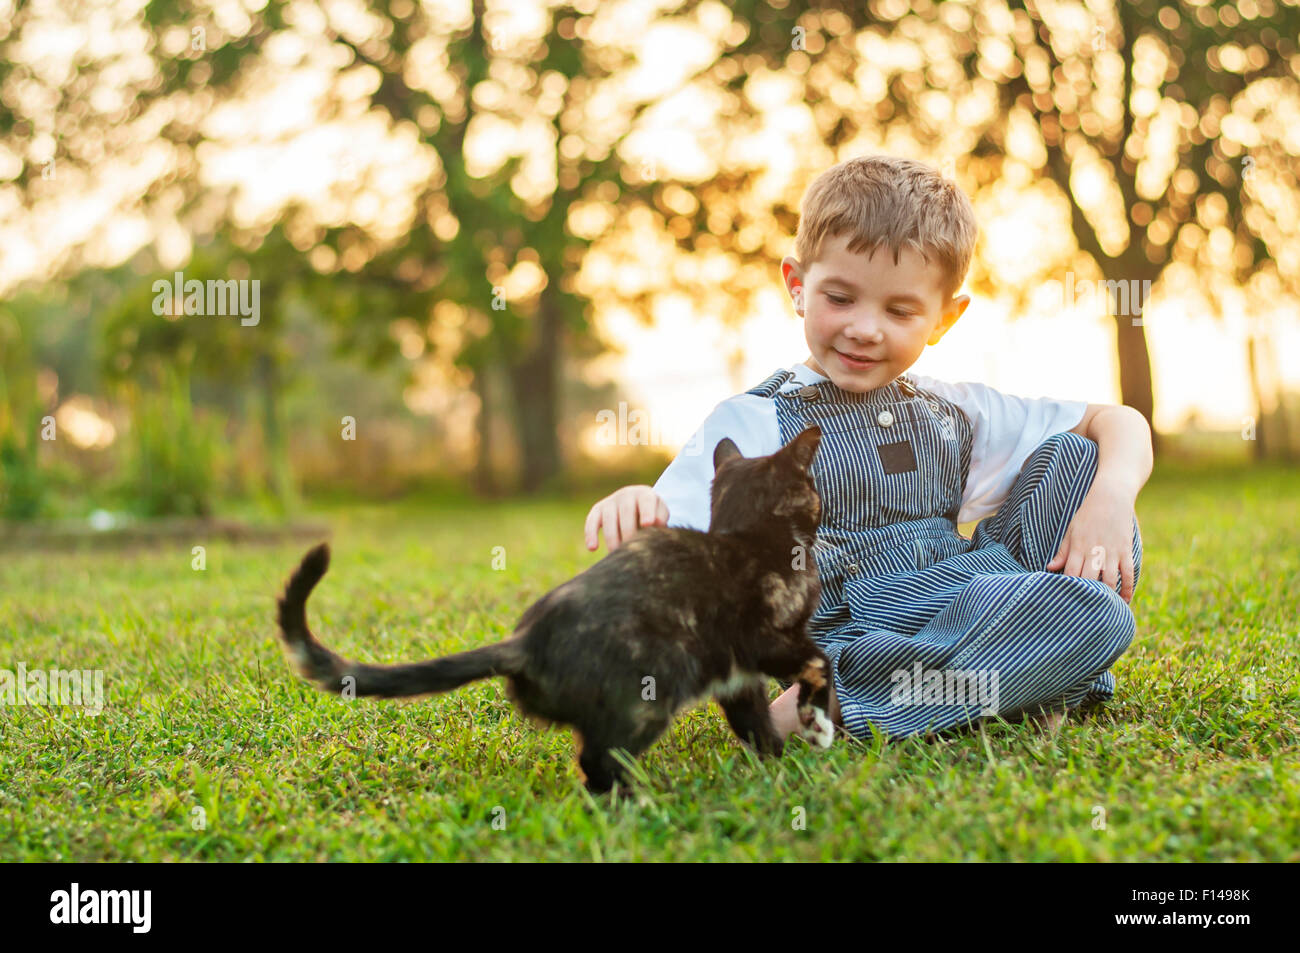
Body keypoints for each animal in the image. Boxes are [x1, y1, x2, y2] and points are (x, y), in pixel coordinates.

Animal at [274, 426, 832, 790]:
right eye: (813, 486)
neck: (747, 536)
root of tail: (524, 641)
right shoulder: (771, 638)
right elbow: (819, 660)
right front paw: (819, 726)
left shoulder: (737, 677)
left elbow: (755, 722)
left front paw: (780, 764)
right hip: (651, 691)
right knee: (597, 764)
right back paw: (639, 806)